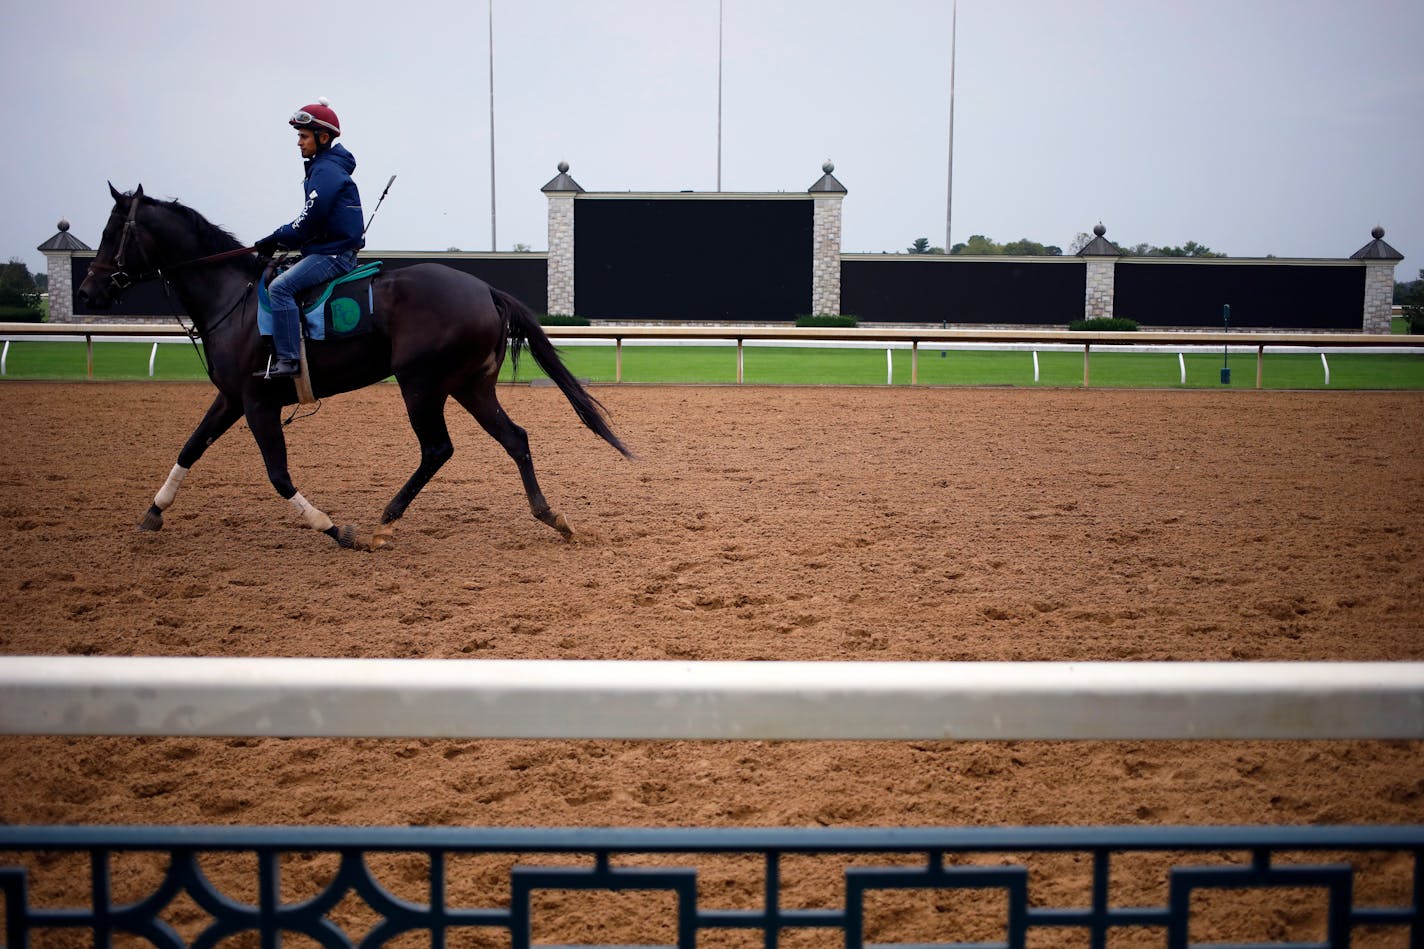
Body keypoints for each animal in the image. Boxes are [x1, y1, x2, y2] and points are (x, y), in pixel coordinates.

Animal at [77, 183, 632, 547]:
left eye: (111, 231)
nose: (88, 291)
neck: (231, 298)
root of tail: (486, 289)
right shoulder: (232, 396)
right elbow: (190, 447)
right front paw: (153, 512)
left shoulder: (257, 401)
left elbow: (278, 474)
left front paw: (334, 528)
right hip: (469, 385)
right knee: (514, 438)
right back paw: (551, 516)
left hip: (420, 383)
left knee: (438, 448)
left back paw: (385, 520)